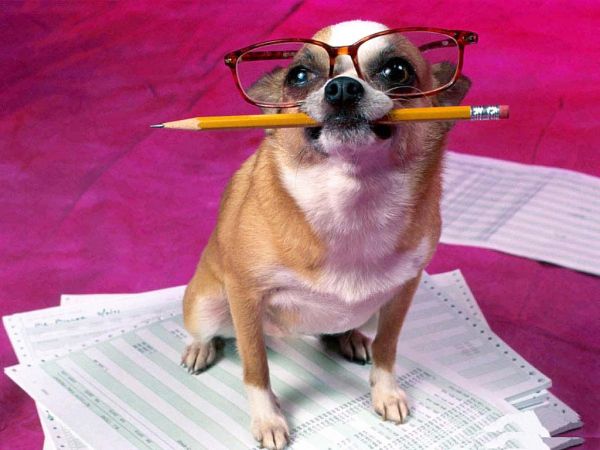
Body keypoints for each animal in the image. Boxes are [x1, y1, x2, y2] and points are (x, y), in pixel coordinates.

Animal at [180, 19, 472, 448]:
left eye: (397, 71)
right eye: (299, 76)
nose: (342, 87)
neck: (351, 201)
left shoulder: (404, 291)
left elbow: (388, 348)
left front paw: (386, 392)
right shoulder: (245, 297)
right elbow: (256, 368)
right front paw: (268, 419)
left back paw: (349, 337)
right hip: (207, 304)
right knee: (212, 330)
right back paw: (201, 348)